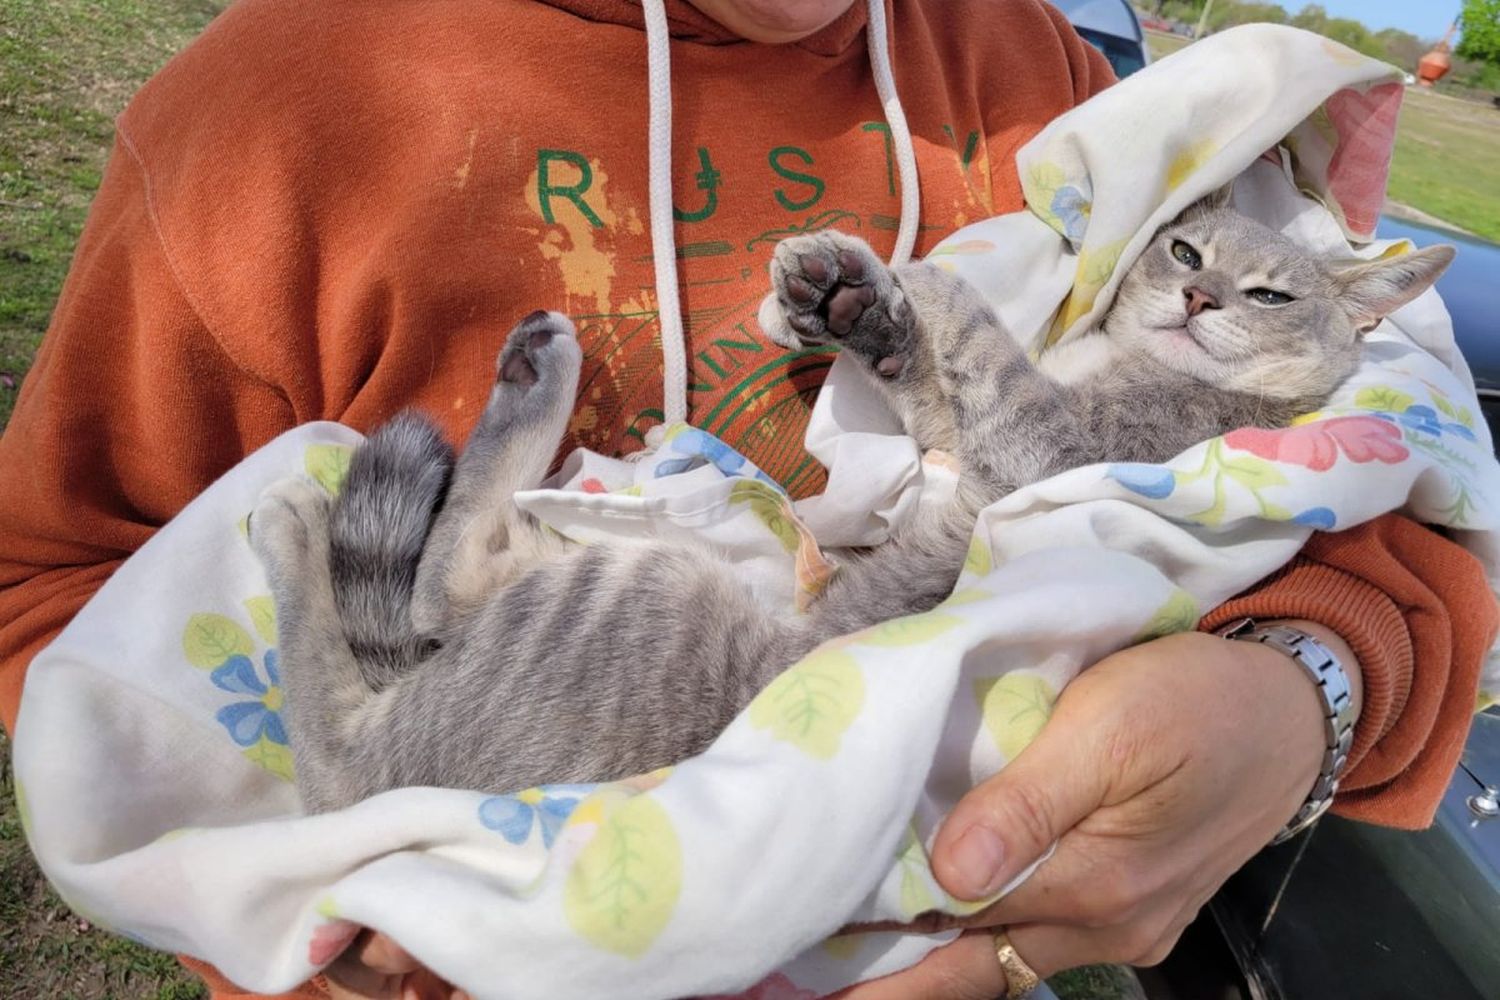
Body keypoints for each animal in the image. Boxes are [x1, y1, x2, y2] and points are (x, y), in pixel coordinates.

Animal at [255, 205, 1452, 815]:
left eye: (1269, 294)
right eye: (1187, 250)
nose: (1199, 297)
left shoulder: (1051, 450)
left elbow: (974, 328)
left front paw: (914, 275)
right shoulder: (959, 441)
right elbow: (931, 373)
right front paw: (856, 304)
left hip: (632, 597)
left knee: (402, 636)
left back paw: (312, 514)